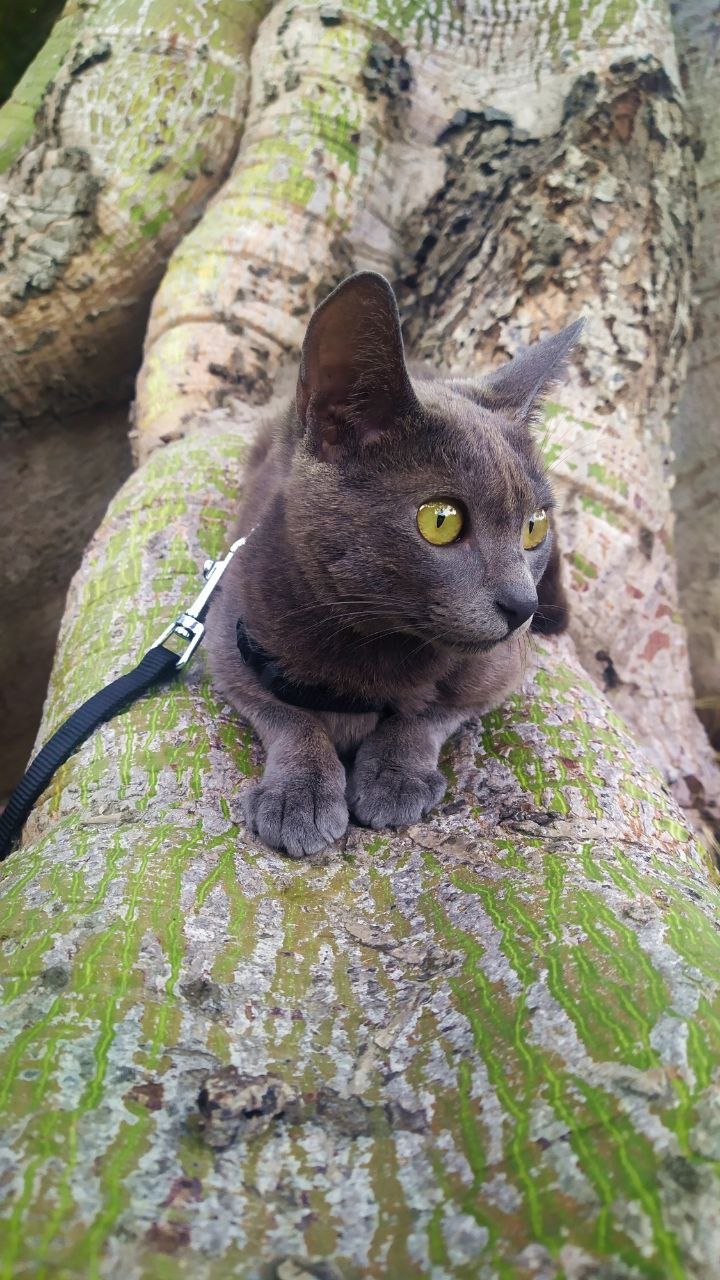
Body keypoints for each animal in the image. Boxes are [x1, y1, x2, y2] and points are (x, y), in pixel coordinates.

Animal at [203, 271, 576, 855]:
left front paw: (393, 778)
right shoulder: (228, 637)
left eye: (534, 526)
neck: (370, 648)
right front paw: (299, 797)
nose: (523, 605)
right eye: (440, 520)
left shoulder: (500, 670)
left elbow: (430, 712)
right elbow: (287, 716)